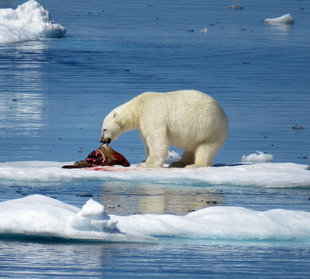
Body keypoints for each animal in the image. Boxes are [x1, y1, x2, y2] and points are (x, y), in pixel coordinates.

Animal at [100, 90, 228, 168]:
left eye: (104, 129)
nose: (102, 140)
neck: (139, 106)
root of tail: (223, 114)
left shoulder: (152, 114)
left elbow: (156, 138)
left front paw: (148, 163)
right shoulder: (142, 123)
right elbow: (146, 140)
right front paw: (145, 160)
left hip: (210, 128)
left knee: (206, 147)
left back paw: (195, 165)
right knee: (190, 147)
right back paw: (179, 163)